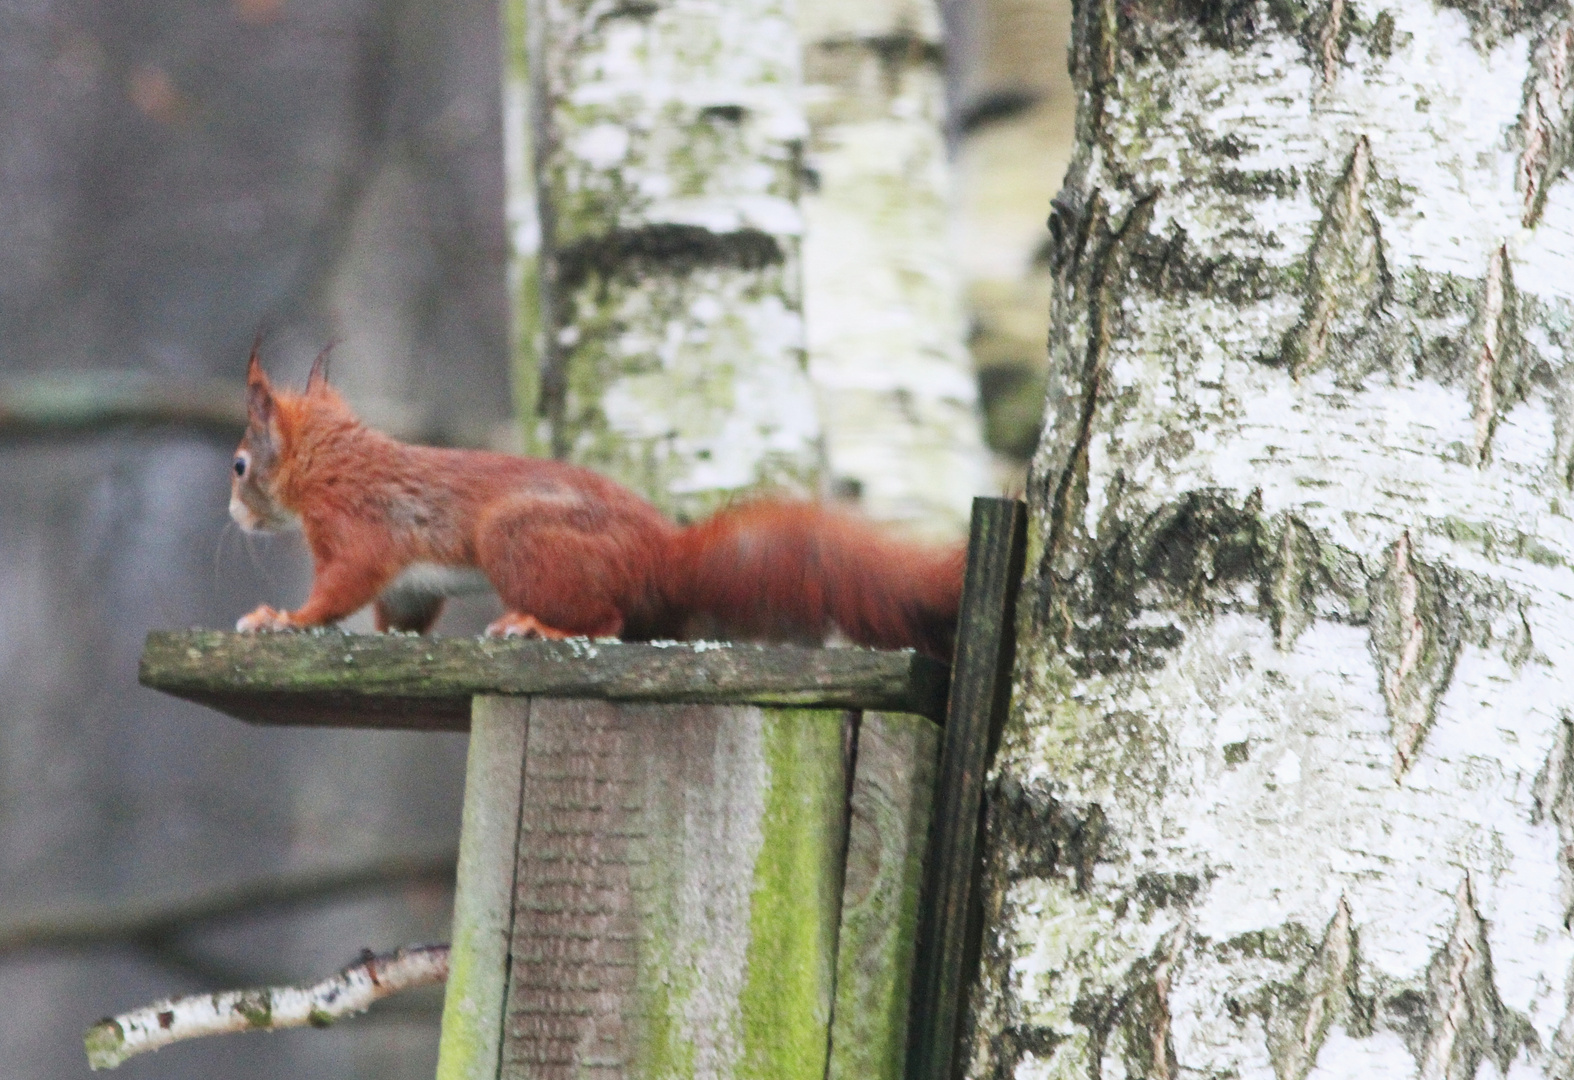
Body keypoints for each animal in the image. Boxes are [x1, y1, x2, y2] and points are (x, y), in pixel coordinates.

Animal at [228, 344, 963, 661]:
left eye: (238, 466)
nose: (233, 515)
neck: (331, 464)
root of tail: (662, 556)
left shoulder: (355, 527)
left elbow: (340, 588)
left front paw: (282, 618)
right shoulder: (408, 582)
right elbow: (402, 615)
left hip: (517, 537)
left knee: (604, 623)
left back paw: (538, 627)